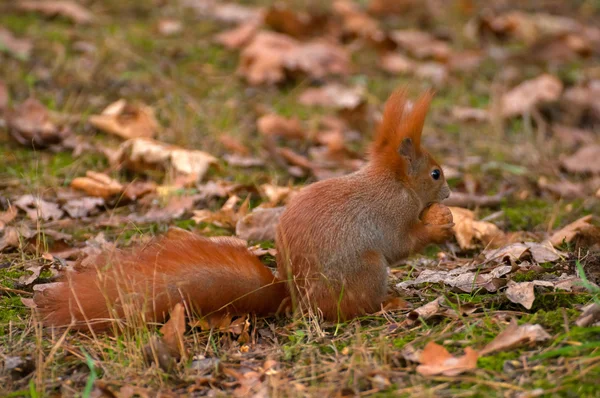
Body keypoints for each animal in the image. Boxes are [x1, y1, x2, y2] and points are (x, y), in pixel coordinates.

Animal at [35, 88, 452, 332]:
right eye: (435, 173)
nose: (448, 193)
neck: (393, 182)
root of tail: (294, 299)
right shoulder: (392, 214)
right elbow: (400, 244)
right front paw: (439, 227)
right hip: (367, 271)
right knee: (356, 308)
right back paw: (389, 303)